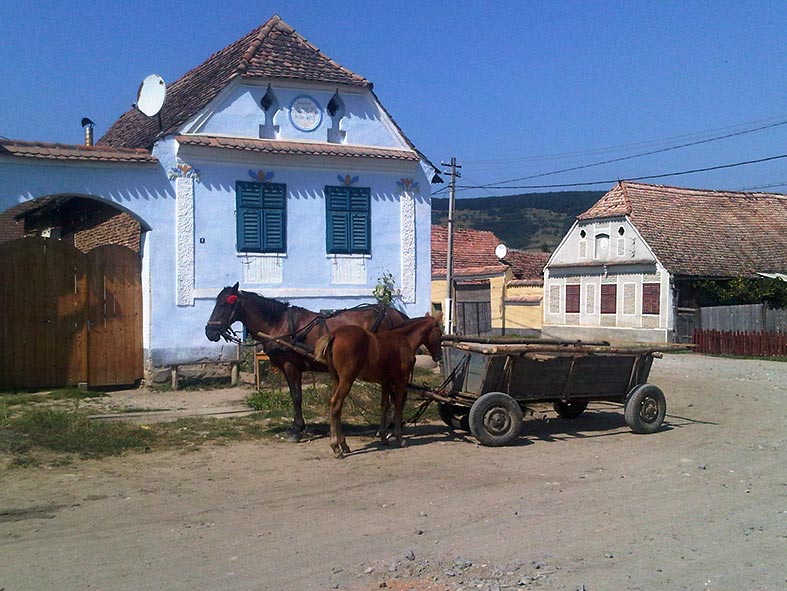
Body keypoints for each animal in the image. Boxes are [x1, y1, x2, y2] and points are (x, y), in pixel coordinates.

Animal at [203, 284, 412, 442]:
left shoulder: (291, 366)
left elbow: (296, 397)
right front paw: (296, 427)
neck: (279, 324)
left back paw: (390, 428)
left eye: (226, 303)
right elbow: (294, 395)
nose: (209, 332)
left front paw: (297, 430)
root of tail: (397, 315)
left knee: (396, 393)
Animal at [314, 314, 444, 458]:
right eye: (439, 333)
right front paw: (400, 439)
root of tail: (335, 334)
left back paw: (344, 445)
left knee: (336, 407)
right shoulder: (401, 381)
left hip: (336, 379)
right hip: (347, 380)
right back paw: (336, 447)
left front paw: (383, 437)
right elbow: (398, 406)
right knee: (336, 404)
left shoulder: (386, 382)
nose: (439, 356)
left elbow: (384, 406)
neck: (404, 340)